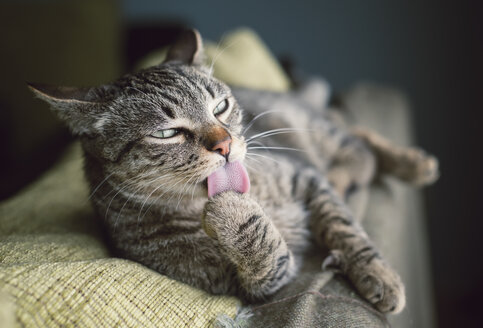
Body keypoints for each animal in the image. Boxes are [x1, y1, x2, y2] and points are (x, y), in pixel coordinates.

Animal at [28, 30, 440, 312]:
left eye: (221, 107)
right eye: (165, 133)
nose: (225, 145)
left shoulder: (304, 177)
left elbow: (347, 230)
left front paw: (380, 276)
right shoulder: (245, 285)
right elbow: (269, 254)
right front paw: (235, 214)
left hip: (310, 127)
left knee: (358, 144)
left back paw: (410, 164)